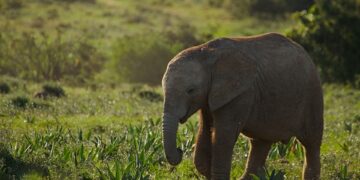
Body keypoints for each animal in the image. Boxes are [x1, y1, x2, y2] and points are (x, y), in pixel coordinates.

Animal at [161, 32, 324, 180]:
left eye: (191, 90)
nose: (180, 150)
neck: (206, 53)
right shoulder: (209, 97)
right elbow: (205, 130)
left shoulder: (241, 94)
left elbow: (224, 137)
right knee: (260, 142)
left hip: (312, 94)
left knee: (311, 143)